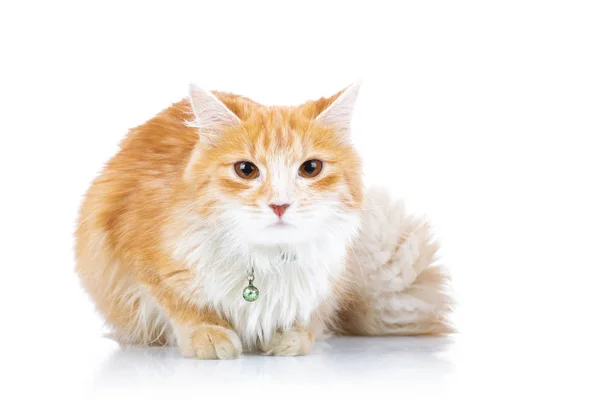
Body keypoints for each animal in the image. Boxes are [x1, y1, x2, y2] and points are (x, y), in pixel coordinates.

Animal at [75, 83, 452, 358]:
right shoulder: (137, 253)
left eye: (311, 168)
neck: (265, 259)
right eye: (246, 170)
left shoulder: (328, 278)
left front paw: (290, 337)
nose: (279, 204)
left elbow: (306, 321)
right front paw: (209, 334)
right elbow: (183, 306)